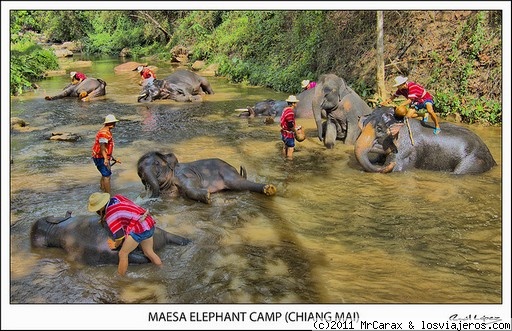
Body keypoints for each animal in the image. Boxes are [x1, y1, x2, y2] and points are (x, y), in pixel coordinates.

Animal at [138, 152, 278, 204]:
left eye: (156, 163)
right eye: (139, 173)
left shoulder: (184, 174)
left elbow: (191, 183)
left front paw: (207, 196)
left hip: (227, 174)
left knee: (238, 183)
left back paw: (269, 189)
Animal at [352, 106, 496, 175]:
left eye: (379, 129)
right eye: (362, 125)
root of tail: (493, 160)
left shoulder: (405, 149)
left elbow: (397, 168)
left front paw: (390, 165)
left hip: (474, 161)